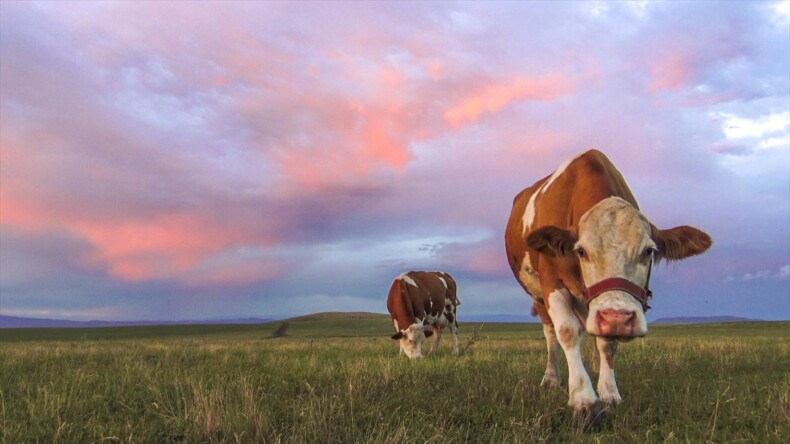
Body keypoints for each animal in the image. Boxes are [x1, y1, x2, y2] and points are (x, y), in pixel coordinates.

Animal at [504, 152, 716, 424]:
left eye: (649, 251)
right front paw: (583, 398)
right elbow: (567, 332)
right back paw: (551, 378)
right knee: (551, 333)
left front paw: (609, 392)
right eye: (581, 251)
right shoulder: (552, 283)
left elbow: (608, 343)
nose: (617, 318)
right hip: (538, 296)